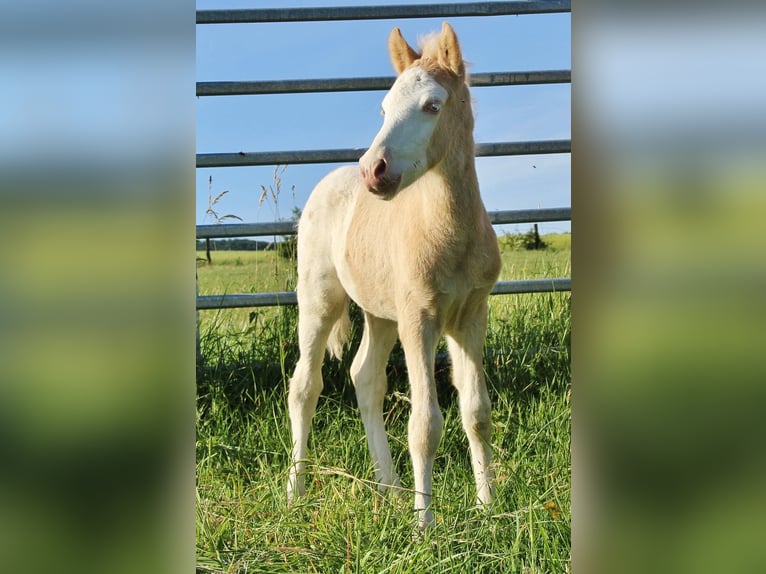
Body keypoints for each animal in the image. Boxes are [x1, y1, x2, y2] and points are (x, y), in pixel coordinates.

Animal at [286, 22, 502, 529]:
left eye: (433, 106)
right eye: (383, 108)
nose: (373, 171)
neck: (447, 232)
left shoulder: (470, 315)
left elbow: (476, 413)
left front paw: (489, 509)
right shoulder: (419, 317)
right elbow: (424, 425)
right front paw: (425, 528)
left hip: (381, 313)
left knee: (366, 379)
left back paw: (391, 490)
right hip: (320, 300)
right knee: (305, 387)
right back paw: (295, 493)